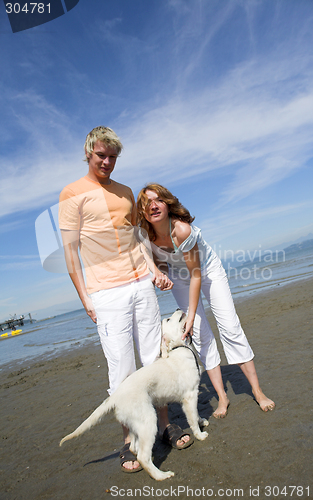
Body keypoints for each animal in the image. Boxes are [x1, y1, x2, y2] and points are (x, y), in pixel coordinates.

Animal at [59, 308, 208, 480]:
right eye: (169, 319)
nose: (178, 309)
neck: (179, 348)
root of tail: (115, 396)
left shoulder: (193, 395)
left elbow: (196, 414)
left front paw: (202, 420)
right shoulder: (189, 396)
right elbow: (192, 418)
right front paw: (200, 434)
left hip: (136, 424)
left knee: (133, 448)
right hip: (148, 420)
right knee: (143, 456)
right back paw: (161, 475)